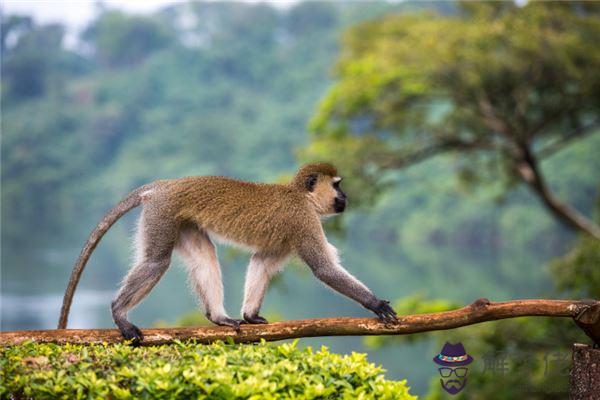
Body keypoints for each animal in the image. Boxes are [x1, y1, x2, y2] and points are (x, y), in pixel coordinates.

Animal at [59, 161, 398, 342]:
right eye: (337, 186)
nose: (346, 197)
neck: (301, 197)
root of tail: (165, 185)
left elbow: (261, 262)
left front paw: (250, 315)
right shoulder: (303, 221)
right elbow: (324, 269)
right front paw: (374, 303)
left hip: (181, 221)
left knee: (204, 257)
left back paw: (218, 317)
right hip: (162, 213)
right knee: (156, 262)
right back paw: (118, 310)